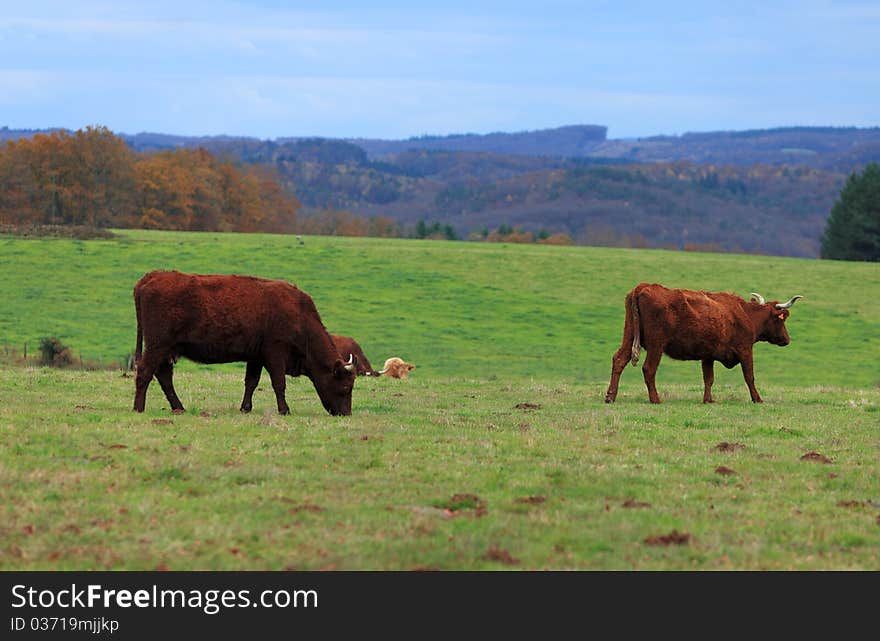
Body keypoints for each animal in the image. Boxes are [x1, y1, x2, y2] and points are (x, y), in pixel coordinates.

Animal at [131, 268, 358, 416]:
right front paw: (284, 410)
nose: (346, 413)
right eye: (346, 387)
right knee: (145, 372)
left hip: (166, 350)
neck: (299, 316)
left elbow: (251, 382)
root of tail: (150, 277)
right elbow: (279, 383)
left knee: (163, 376)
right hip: (157, 346)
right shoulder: (275, 354)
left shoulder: (256, 357)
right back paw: (138, 408)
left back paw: (179, 407)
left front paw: (245, 408)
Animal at [604, 282, 804, 402]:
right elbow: (749, 376)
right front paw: (758, 399)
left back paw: (610, 396)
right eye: (782, 319)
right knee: (648, 369)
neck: (745, 313)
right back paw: (655, 399)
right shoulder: (745, 350)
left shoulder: (708, 355)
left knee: (619, 360)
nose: (787, 339)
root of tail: (642, 287)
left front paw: (708, 400)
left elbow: (709, 378)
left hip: (629, 337)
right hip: (656, 345)